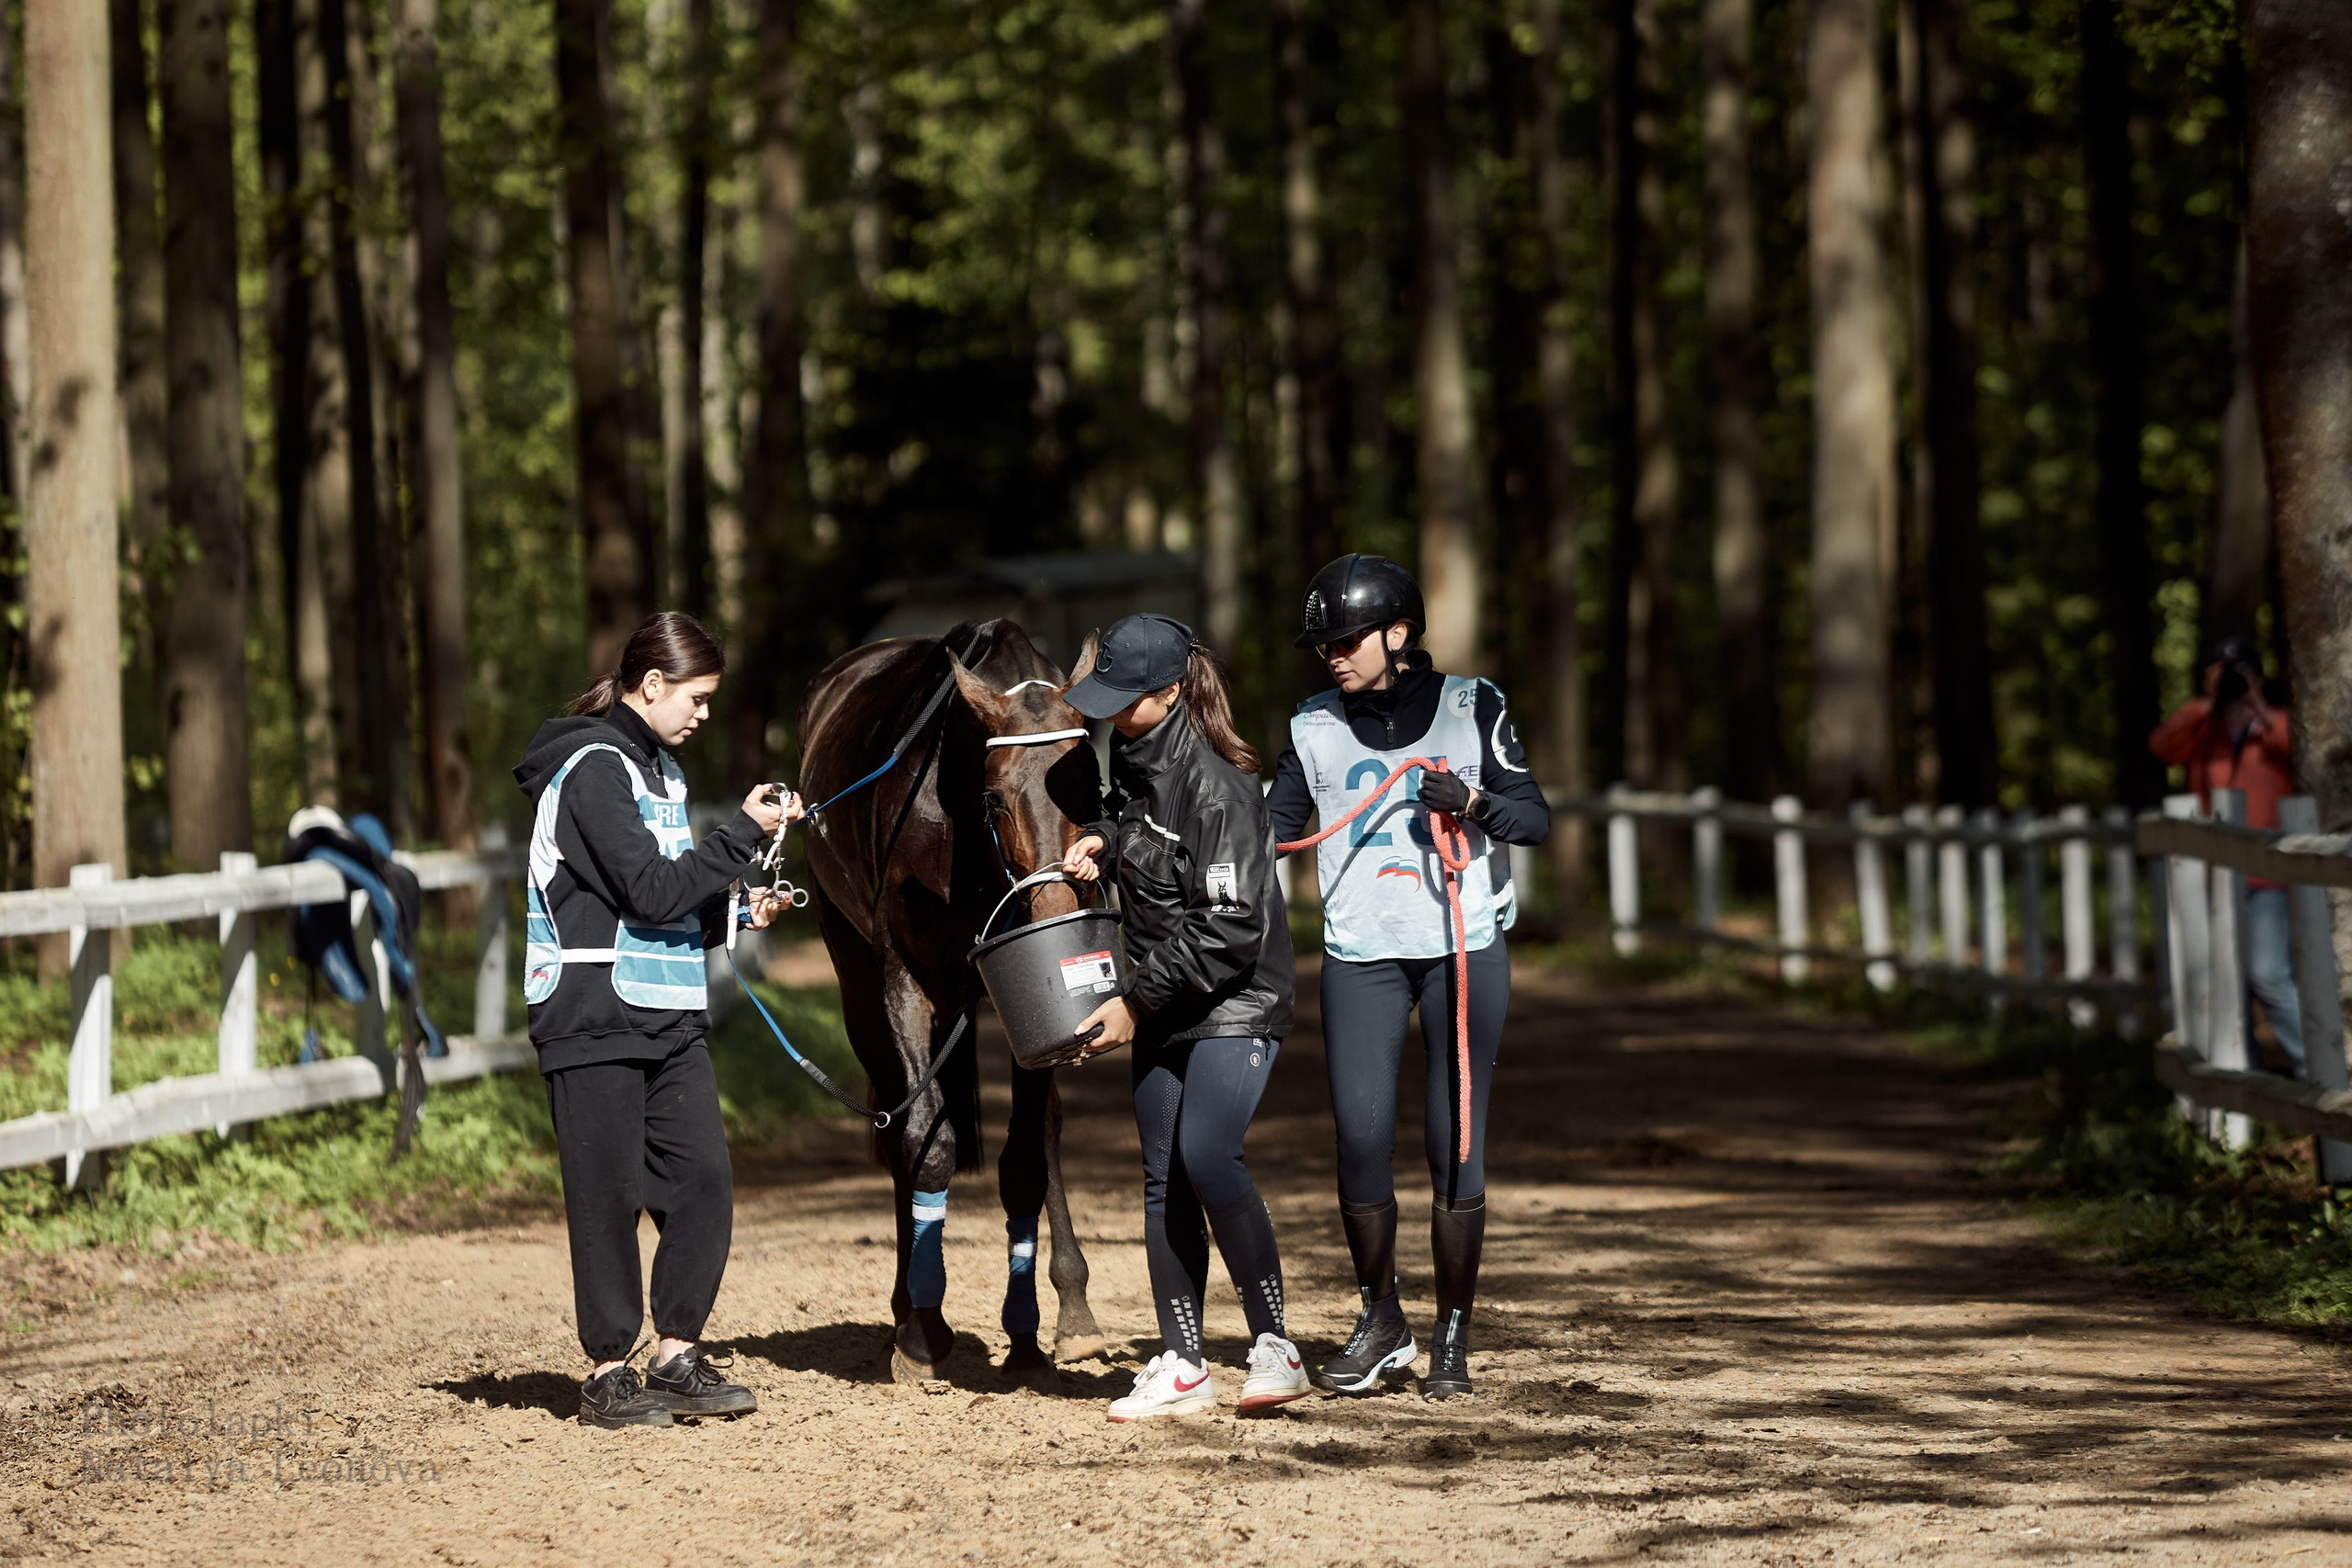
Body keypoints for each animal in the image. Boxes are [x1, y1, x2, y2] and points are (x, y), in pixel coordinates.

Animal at [797, 619, 1108, 1383]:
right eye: (996, 800)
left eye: (1091, 789)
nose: (1052, 910)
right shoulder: (905, 979)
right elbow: (925, 1143)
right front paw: (921, 1331)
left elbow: (1026, 1157)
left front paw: (1035, 1331)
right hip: (854, 979)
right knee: (897, 1127)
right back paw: (902, 1307)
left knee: (1043, 1133)